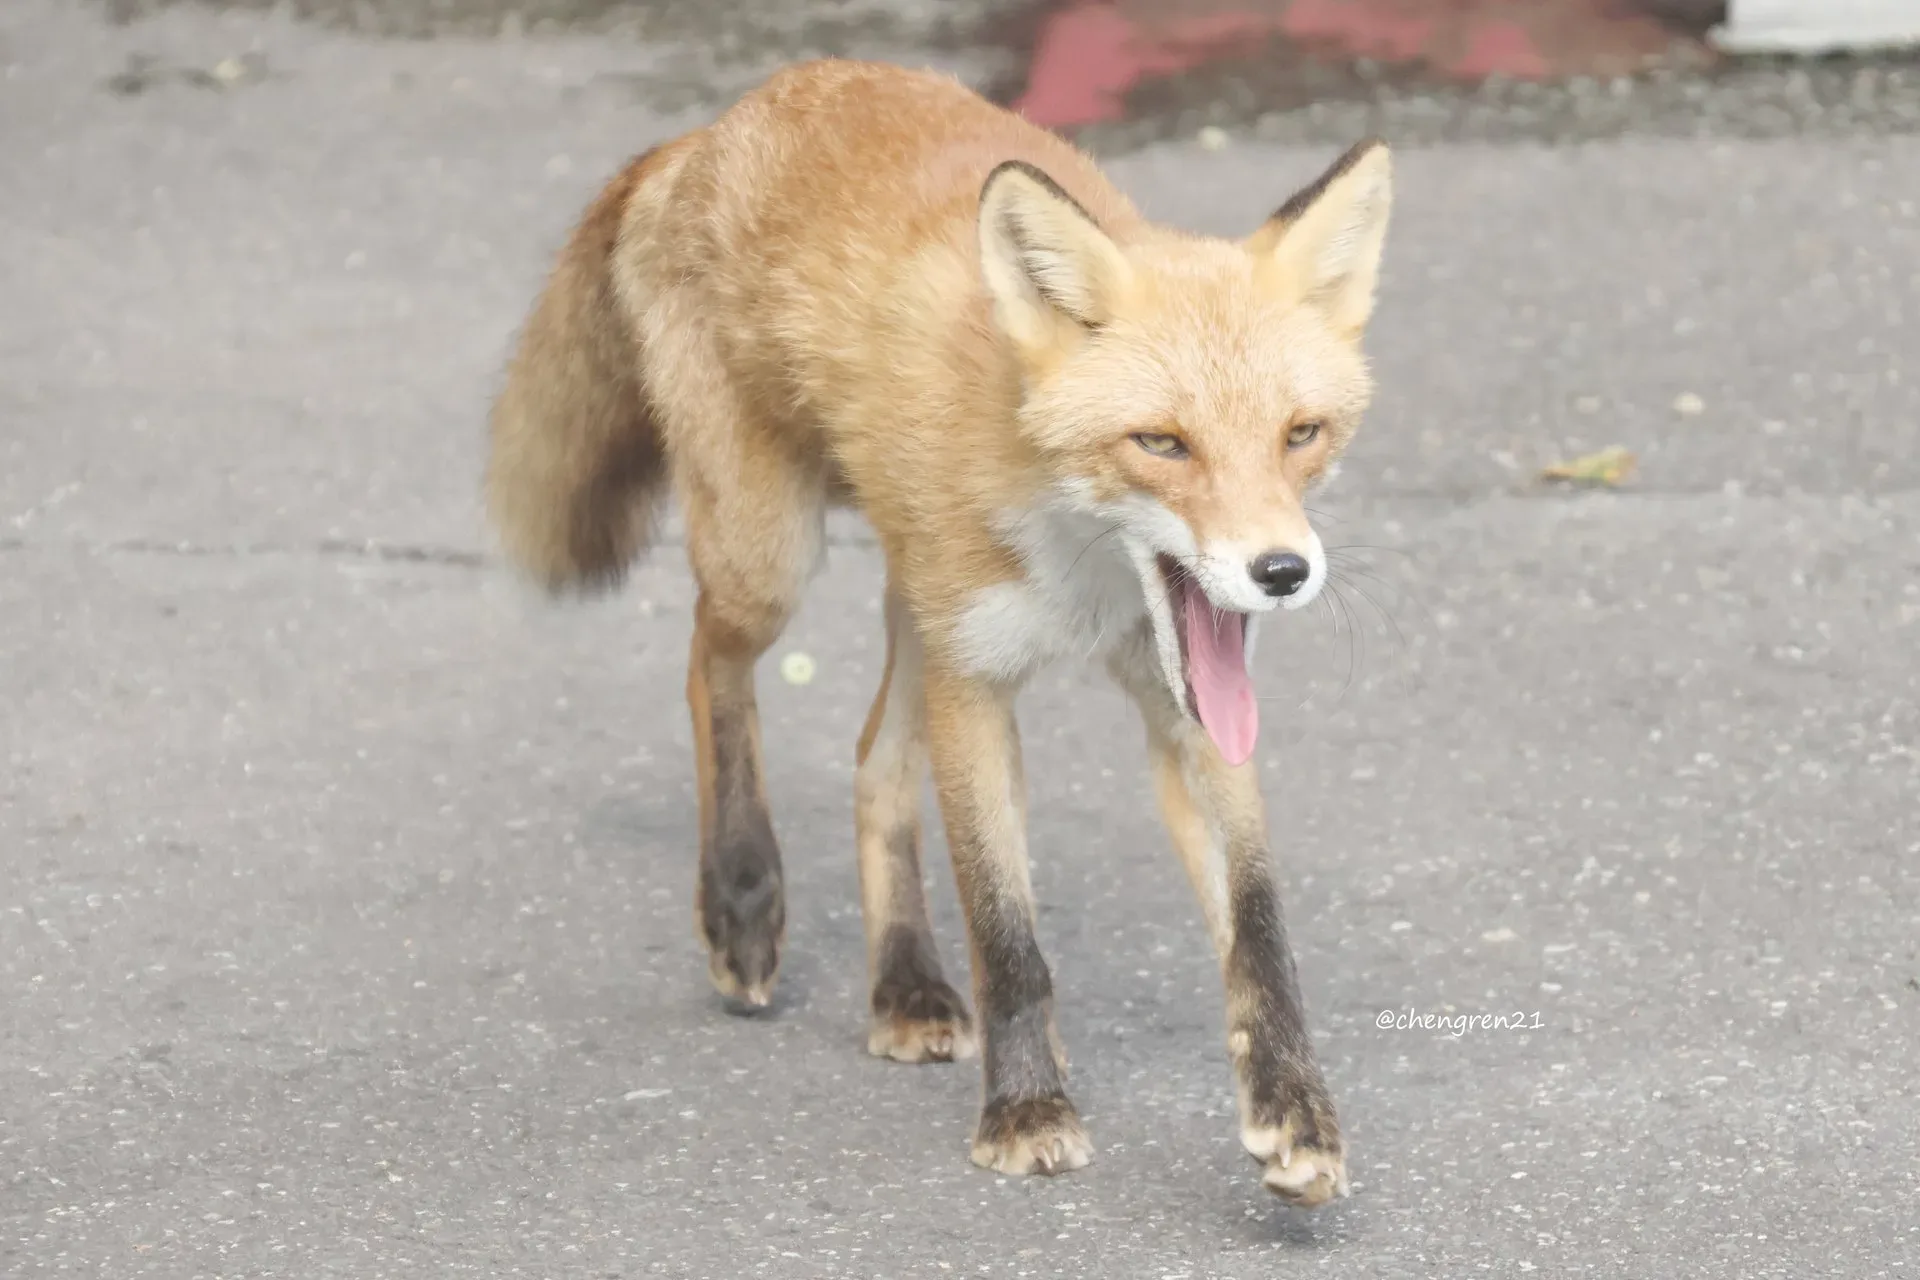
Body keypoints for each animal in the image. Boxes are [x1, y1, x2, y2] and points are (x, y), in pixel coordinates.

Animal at [485, 59, 1392, 1206]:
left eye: (1300, 435)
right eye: (1161, 444)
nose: (1281, 572)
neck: (1085, 567)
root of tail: (713, 130)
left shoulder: (1182, 704)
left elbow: (1259, 924)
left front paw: (1295, 1114)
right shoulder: (978, 683)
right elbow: (1007, 934)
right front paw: (1026, 1111)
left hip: (912, 605)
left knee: (873, 760)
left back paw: (906, 984)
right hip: (770, 557)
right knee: (706, 664)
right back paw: (742, 895)